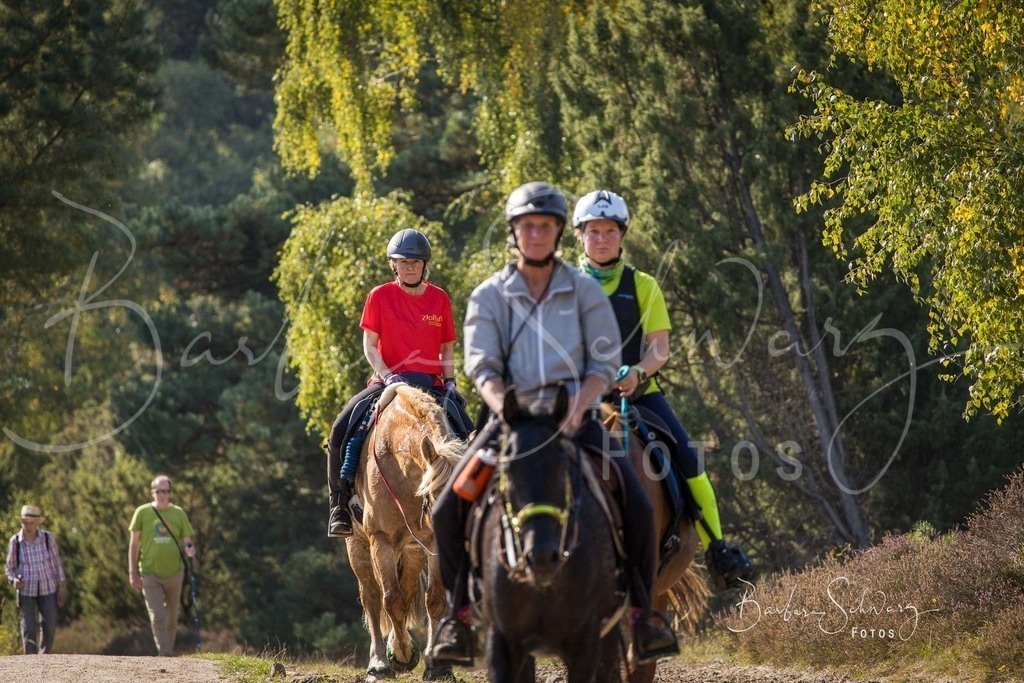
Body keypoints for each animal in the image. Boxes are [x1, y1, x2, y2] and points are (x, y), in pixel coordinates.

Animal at [344, 383, 465, 681]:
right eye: (435, 496)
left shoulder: (431, 545)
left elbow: (434, 600)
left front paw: (437, 666)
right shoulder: (382, 542)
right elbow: (391, 601)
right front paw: (400, 655)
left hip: (412, 550)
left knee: (408, 587)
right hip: (357, 544)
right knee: (372, 596)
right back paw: (379, 661)